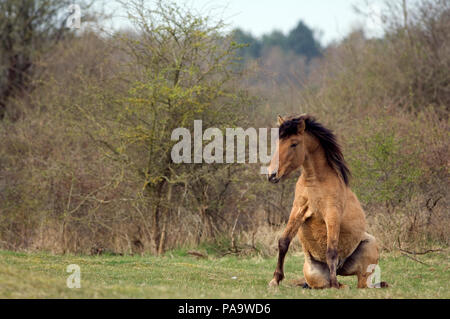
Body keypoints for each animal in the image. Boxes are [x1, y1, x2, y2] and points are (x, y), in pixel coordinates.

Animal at [268, 114, 386, 290]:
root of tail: (340, 269)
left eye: (294, 143)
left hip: (368, 255)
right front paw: (275, 280)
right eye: (278, 142)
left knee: (361, 282)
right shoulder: (298, 210)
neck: (315, 182)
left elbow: (331, 251)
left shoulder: (332, 214)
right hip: (314, 277)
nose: (271, 175)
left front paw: (334, 285)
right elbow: (283, 242)